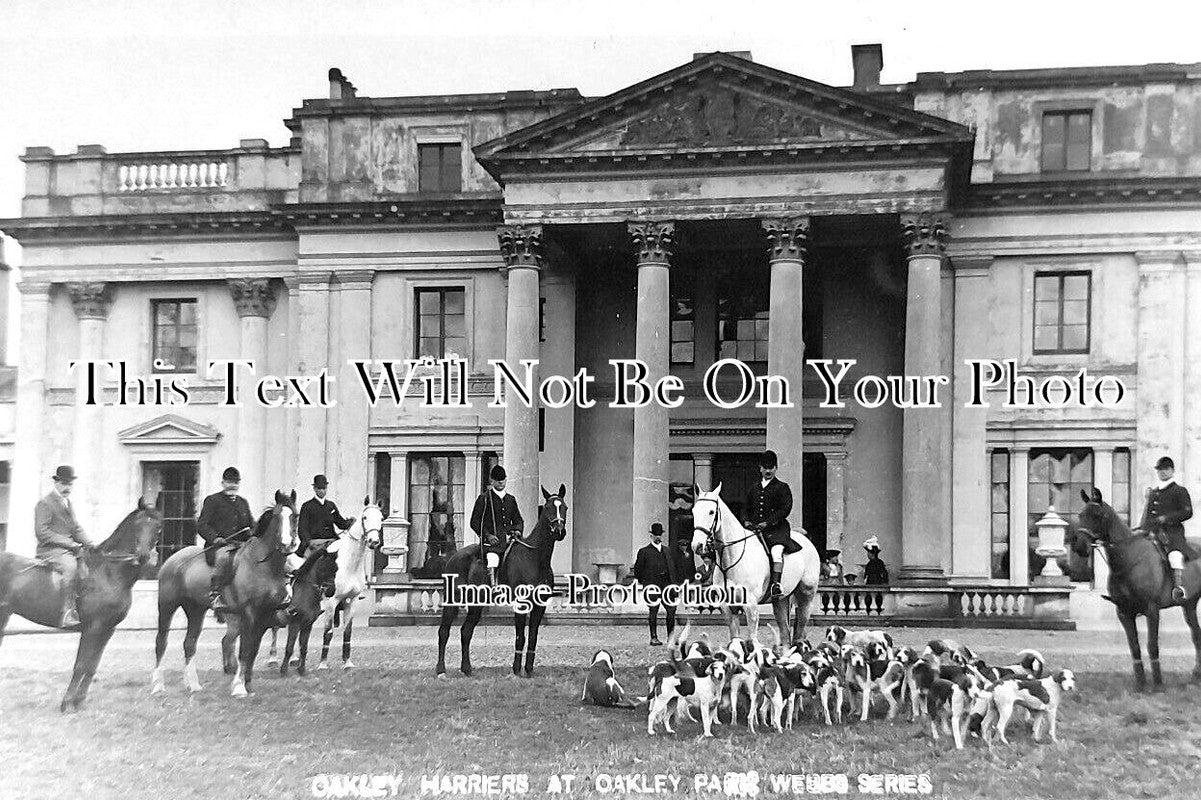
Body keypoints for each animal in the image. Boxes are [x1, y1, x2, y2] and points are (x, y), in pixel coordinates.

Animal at [0, 499, 162, 711]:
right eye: (138, 525)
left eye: (158, 528)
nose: (143, 556)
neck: (109, 573)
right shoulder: (93, 628)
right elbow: (81, 665)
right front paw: (68, 704)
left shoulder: (107, 630)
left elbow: (92, 666)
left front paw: (80, 702)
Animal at [151, 485, 299, 691]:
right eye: (277, 517)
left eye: (295, 515)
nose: (287, 545)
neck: (264, 566)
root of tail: (173, 559)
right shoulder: (249, 613)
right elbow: (245, 650)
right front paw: (239, 687)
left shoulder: (265, 614)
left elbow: (253, 651)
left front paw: (248, 684)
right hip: (167, 606)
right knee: (161, 642)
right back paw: (158, 685)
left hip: (196, 609)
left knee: (190, 643)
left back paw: (193, 685)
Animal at [437, 482, 566, 677]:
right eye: (548, 508)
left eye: (564, 507)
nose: (559, 531)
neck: (536, 558)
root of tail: (453, 557)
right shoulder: (521, 604)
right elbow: (520, 637)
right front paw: (516, 669)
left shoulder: (540, 605)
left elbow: (533, 636)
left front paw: (529, 670)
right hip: (453, 601)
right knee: (444, 631)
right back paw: (441, 670)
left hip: (476, 604)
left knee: (466, 631)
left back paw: (467, 669)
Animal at [691, 480, 821, 643]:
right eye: (694, 511)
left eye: (711, 512)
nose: (697, 546)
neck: (731, 559)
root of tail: (805, 539)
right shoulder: (728, 608)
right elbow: (735, 640)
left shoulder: (751, 605)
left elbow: (751, 639)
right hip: (781, 600)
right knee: (785, 633)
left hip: (806, 596)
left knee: (800, 630)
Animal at [1076, 482, 1201, 687]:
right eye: (1080, 515)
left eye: (1097, 515)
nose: (1080, 547)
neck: (1129, 560)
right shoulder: (1124, 612)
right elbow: (1134, 646)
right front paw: (1140, 684)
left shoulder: (1152, 610)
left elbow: (1152, 645)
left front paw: (1157, 684)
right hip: (1189, 604)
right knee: (1196, 634)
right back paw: (1196, 675)